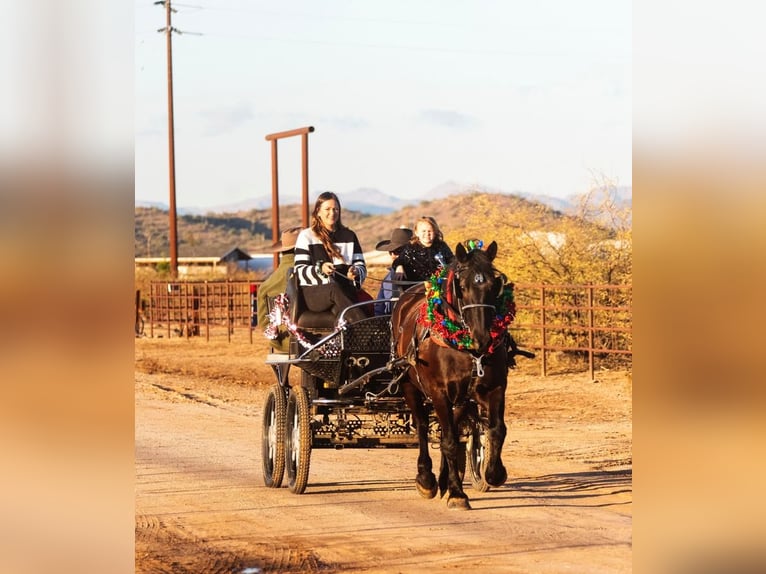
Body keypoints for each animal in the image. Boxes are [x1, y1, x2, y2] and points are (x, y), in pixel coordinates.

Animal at [396, 241, 516, 510]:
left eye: (495, 284)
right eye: (462, 286)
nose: (482, 338)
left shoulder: (494, 388)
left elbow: (496, 430)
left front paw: (494, 473)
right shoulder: (439, 393)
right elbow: (449, 441)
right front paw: (458, 494)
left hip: (461, 400)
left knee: (448, 431)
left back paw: (443, 479)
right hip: (410, 386)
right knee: (422, 426)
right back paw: (427, 478)